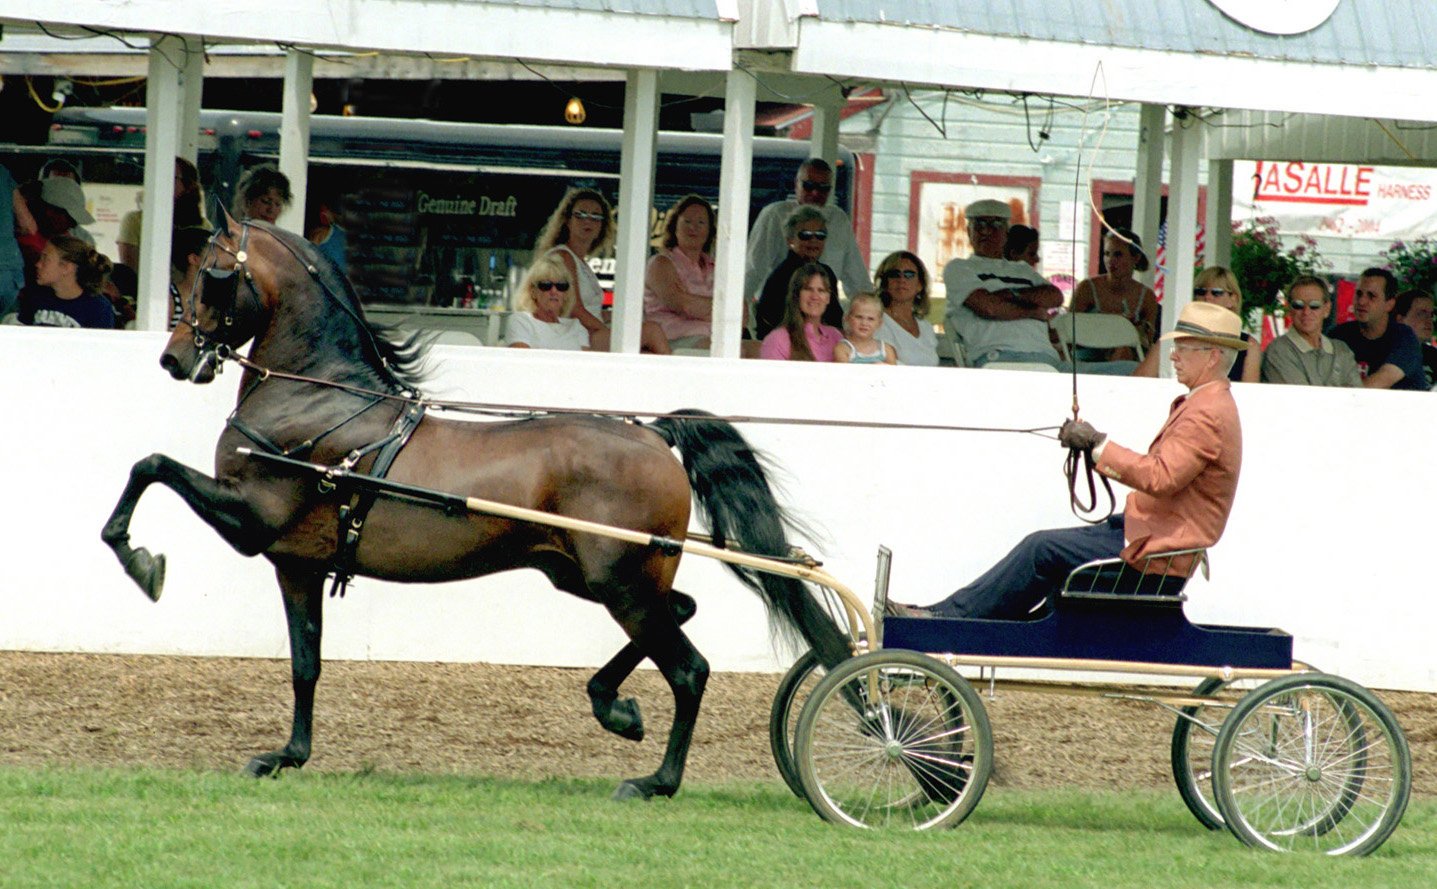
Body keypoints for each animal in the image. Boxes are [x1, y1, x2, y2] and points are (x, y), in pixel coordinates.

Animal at [100, 216, 854, 800]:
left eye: (212, 275)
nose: (175, 358)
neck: (318, 398)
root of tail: (650, 433)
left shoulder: (252, 519)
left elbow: (150, 467)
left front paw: (140, 562)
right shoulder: (296, 563)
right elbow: (306, 663)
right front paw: (287, 755)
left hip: (619, 583)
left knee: (690, 669)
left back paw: (653, 780)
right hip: (595, 576)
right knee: (682, 614)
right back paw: (616, 709)